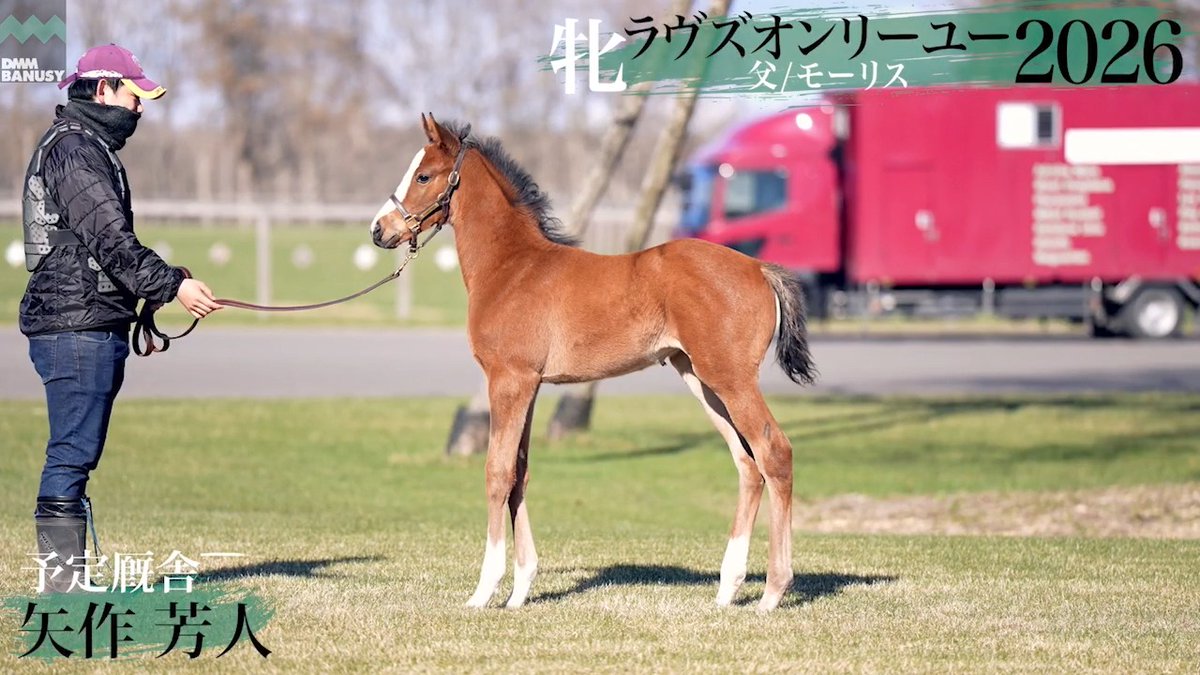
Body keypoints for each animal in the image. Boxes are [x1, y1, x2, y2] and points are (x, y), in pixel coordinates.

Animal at [370, 113, 816, 611]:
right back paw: (727, 589)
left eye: (423, 176)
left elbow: (497, 472)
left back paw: (773, 592)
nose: (379, 230)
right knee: (746, 463)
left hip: (731, 379)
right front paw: (520, 591)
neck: (513, 267)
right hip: (700, 380)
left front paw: (484, 591)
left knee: (774, 453)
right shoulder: (530, 384)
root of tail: (759, 268)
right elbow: (520, 471)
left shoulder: (508, 379)